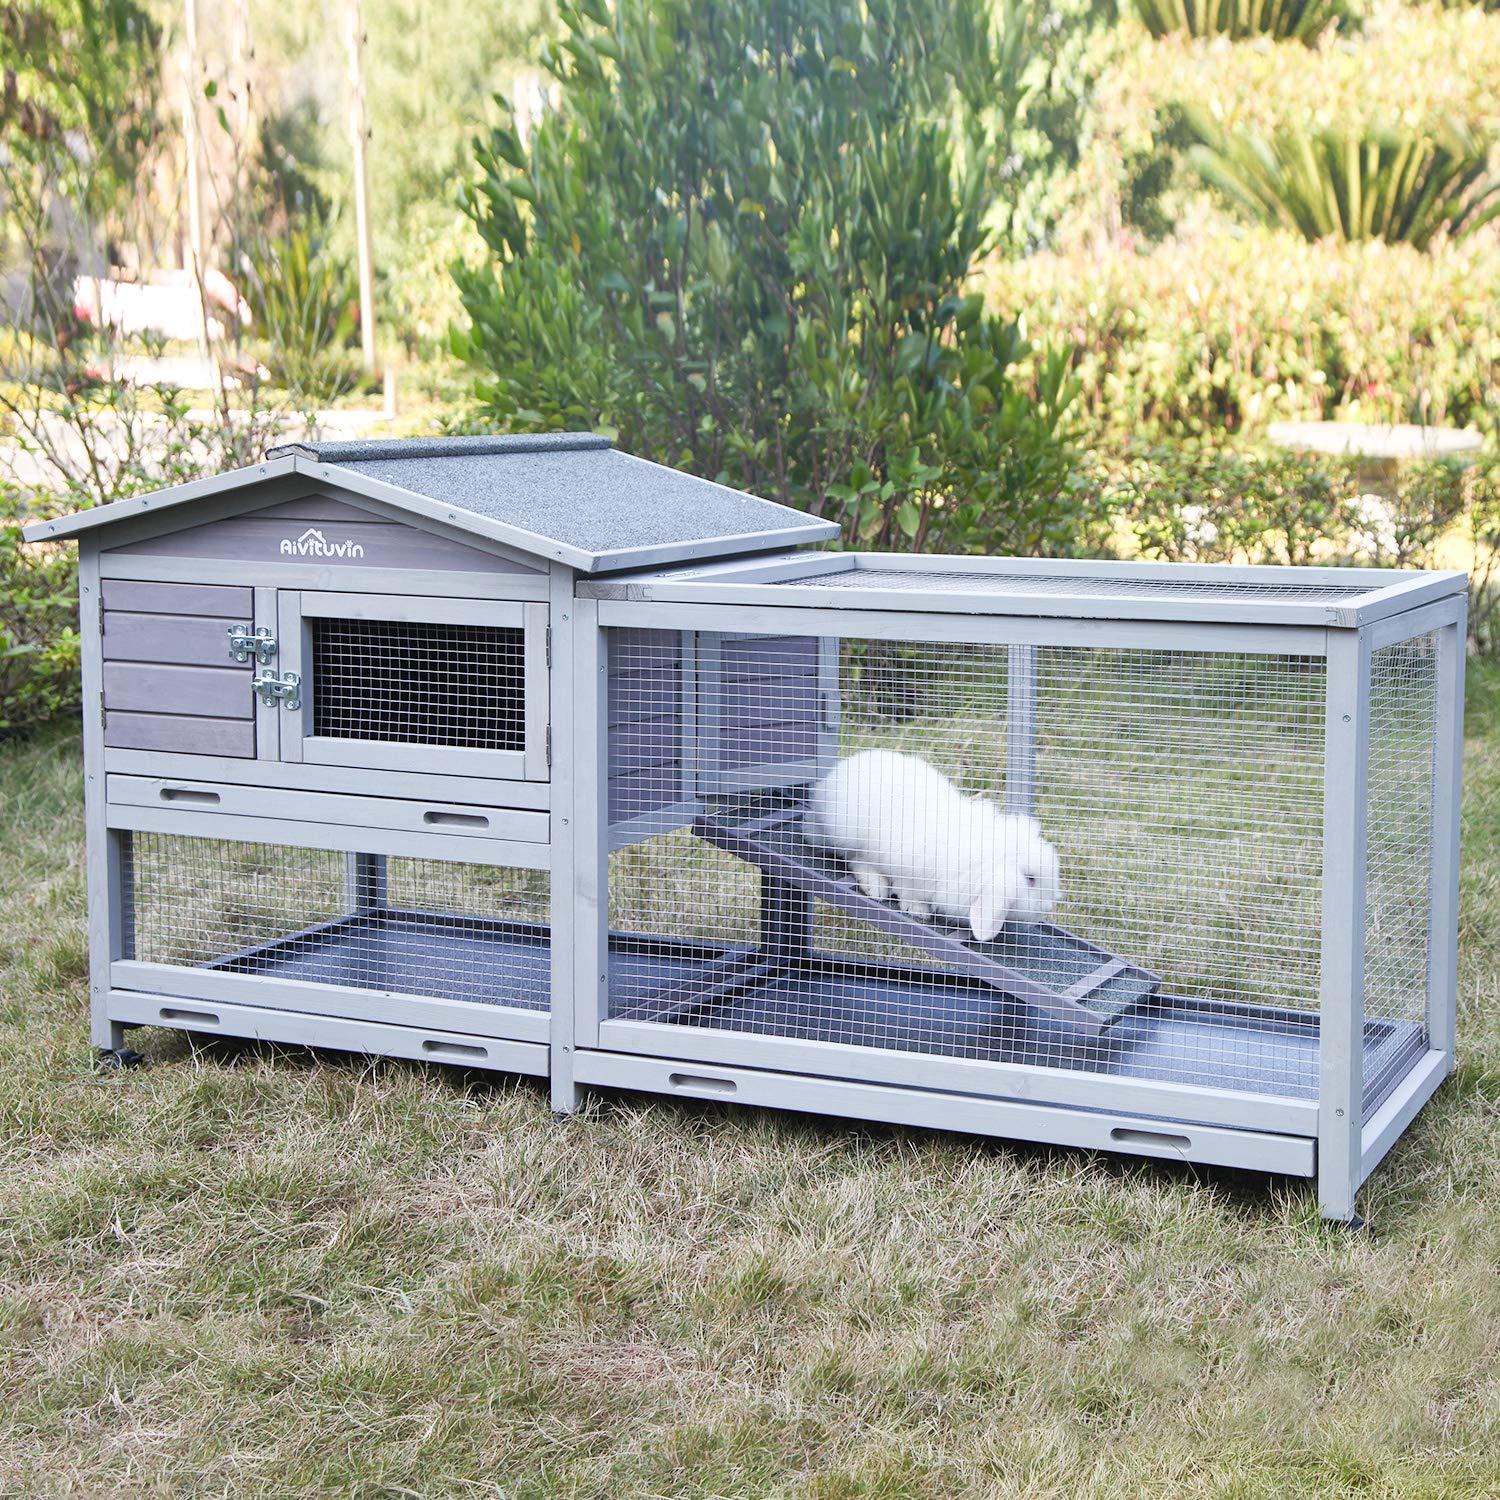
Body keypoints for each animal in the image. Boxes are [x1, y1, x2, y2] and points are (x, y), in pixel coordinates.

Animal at [804, 748, 1061, 943]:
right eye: (1030, 879)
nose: (1049, 905)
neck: (987, 862)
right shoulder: (909, 868)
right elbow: (908, 890)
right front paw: (918, 910)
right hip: (850, 834)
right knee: (856, 859)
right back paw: (876, 886)